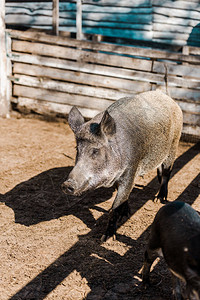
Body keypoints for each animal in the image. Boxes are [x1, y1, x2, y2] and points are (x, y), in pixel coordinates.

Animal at [62, 90, 183, 240]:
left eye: (95, 151)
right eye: (77, 149)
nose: (66, 184)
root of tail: (166, 96)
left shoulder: (131, 169)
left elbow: (116, 205)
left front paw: (106, 238)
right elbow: (122, 197)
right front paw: (125, 214)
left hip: (173, 146)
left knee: (167, 173)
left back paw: (158, 199)